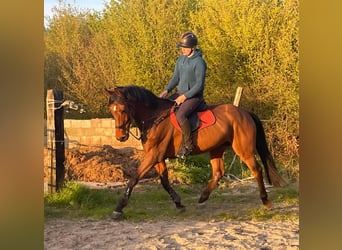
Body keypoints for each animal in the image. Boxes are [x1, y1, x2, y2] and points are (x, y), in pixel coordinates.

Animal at [105, 84, 284, 219]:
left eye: (123, 109)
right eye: (112, 110)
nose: (121, 137)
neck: (155, 117)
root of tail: (245, 113)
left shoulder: (154, 155)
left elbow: (134, 179)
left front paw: (118, 209)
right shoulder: (158, 157)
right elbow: (164, 181)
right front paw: (179, 203)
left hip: (243, 150)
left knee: (257, 170)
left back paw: (266, 202)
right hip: (216, 149)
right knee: (219, 172)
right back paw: (202, 198)